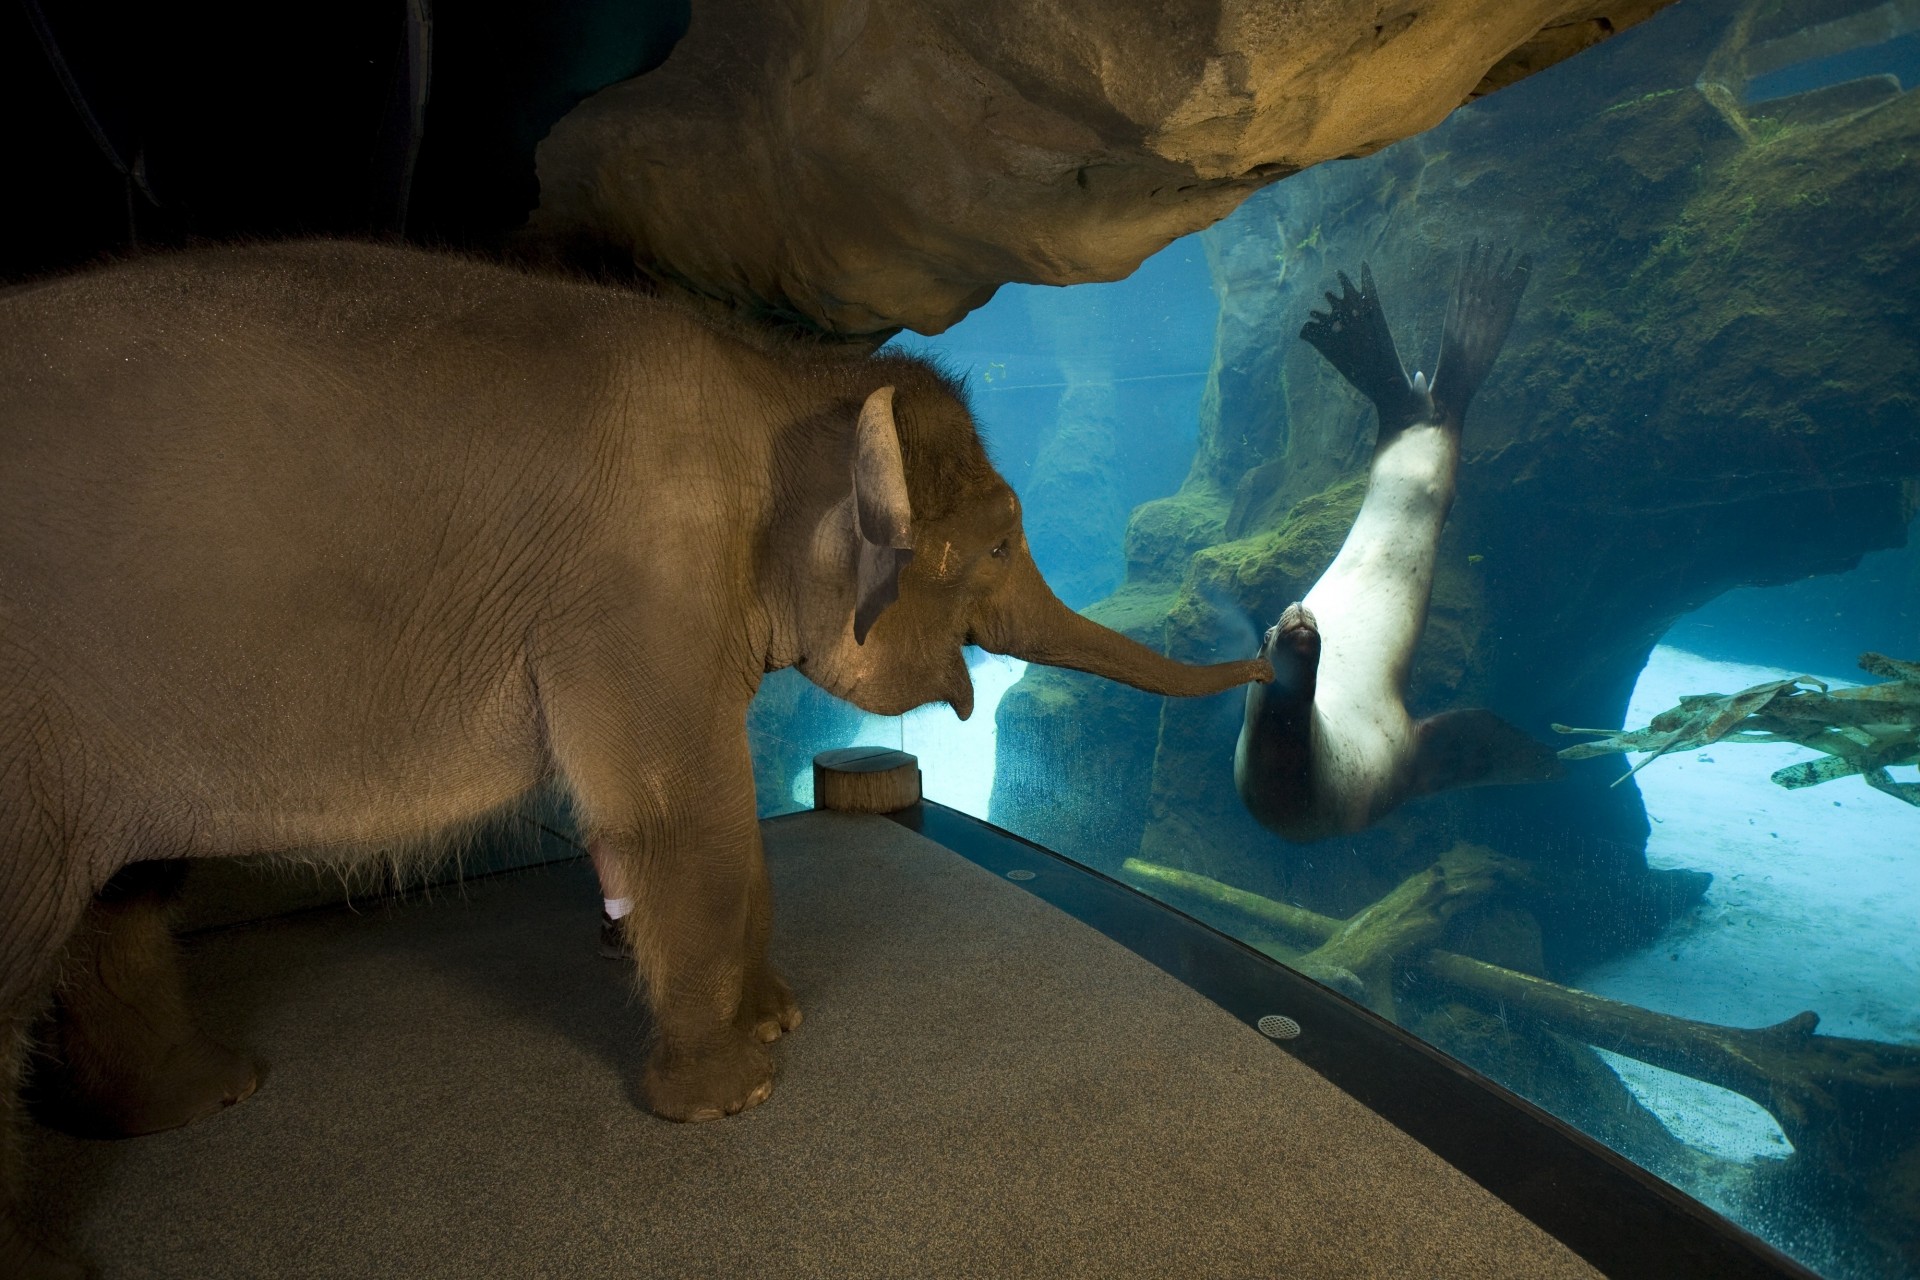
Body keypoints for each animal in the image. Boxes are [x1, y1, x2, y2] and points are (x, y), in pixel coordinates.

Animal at [0, 240, 1270, 1275]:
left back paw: (201, 1097)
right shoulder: (635, 584)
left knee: (121, 895)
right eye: (1003, 542)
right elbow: (679, 816)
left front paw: (776, 1019)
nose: (1277, 651)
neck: (779, 376)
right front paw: (730, 1096)